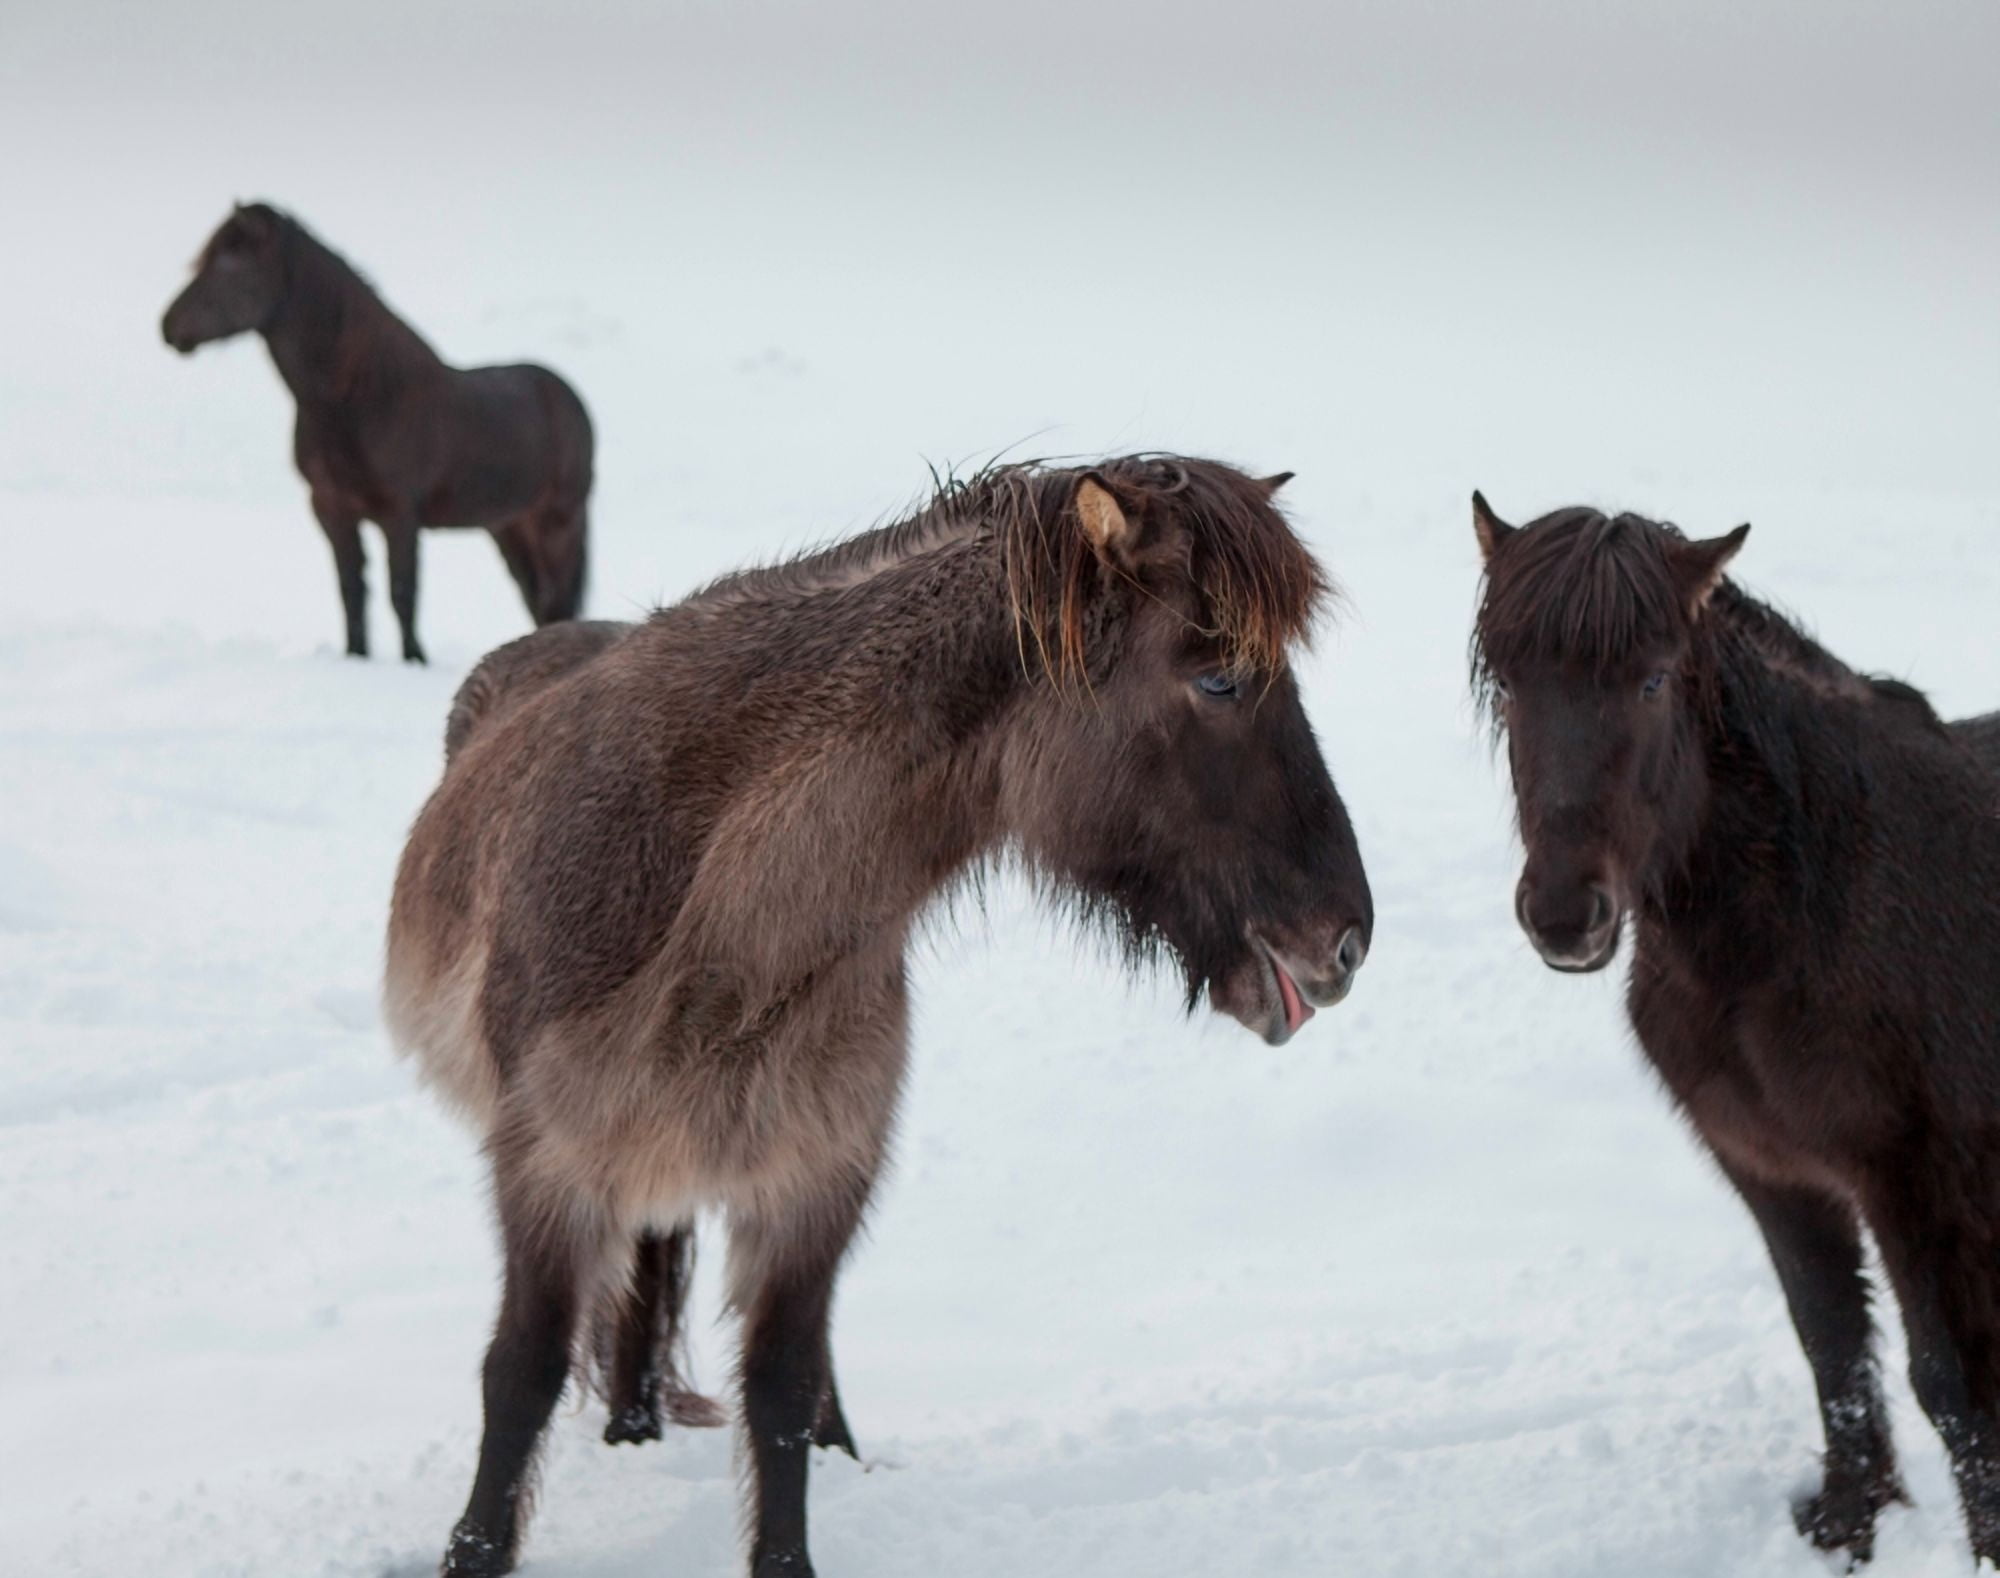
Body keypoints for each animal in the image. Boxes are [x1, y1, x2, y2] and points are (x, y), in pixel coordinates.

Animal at [161, 202, 593, 663]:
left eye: (230, 264)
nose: (168, 326)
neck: (360, 400)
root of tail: (568, 396)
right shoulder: (331, 508)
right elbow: (352, 591)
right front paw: (356, 657)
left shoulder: (399, 513)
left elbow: (402, 592)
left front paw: (414, 660)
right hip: (508, 527)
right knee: (536, 598)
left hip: (559, 522)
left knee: (556, 599)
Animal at [385, 456, 1375, 1576]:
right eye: (1218, 680)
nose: (1344, 940)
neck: (725, 932)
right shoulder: (548, 1168)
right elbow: (521, 1373)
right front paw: (471, 1553)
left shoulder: (818, 1175)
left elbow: (779, 1386)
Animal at [1470, 494, 2000, 1567]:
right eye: (1507, 681)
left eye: (1651, 678)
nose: (1564, 915)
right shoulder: (1773, 1168)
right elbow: (1831, 1342)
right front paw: (1846, 1524)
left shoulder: (1920, 1183)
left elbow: (1950, 1384)